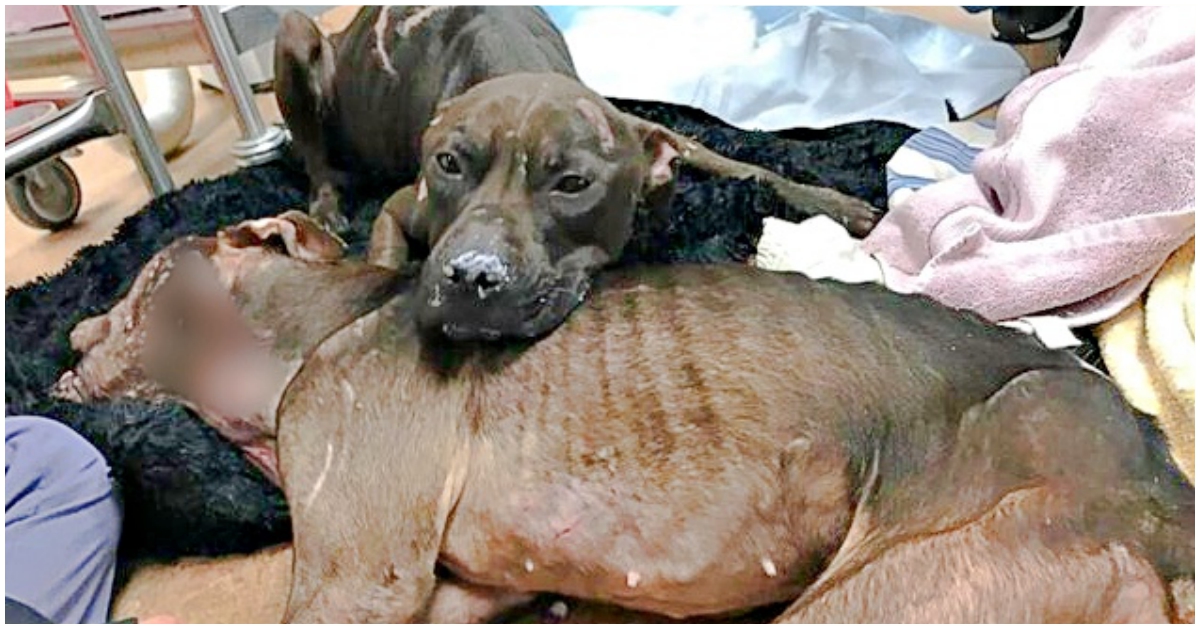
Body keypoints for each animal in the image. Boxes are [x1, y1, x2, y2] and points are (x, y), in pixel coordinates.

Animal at [54, 212, 1190, 624]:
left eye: (146, 283)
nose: (63, 351)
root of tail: (1166, 497)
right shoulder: (462, 591)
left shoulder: (359, 580)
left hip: (880, 600)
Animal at [276, 6, 888, 338]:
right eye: (448, 163)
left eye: (573, 183)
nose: (471, 276)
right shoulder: (404, 207)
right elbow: (382, 258)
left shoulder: (648, 128)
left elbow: (734, 160)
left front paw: (836, 203)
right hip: (296, 33)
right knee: (314, 156)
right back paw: (327, 205)